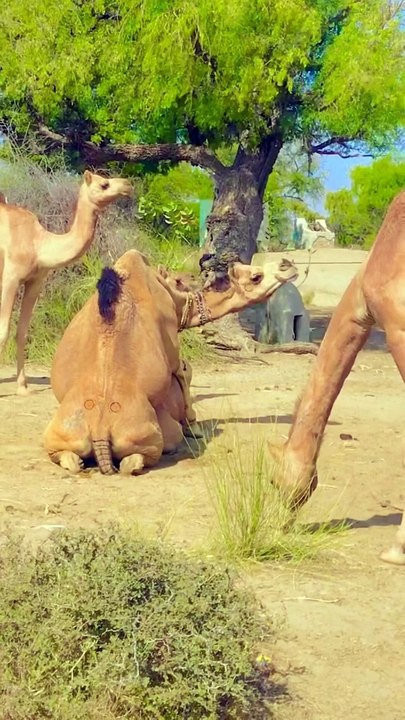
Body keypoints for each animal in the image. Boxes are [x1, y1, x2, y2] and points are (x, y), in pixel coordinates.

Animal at [0, 170, 132, 395]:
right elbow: (3, 331)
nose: (128, 184)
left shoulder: (35, 281)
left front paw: (23, 387)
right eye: (104, 184)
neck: (39, 245)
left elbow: (22, 332)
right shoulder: (11, 277)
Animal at [44, 250, 298, 475]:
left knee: (67, 456)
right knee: (133, 462)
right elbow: (184, 370)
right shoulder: (172, 348)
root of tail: (99, 429)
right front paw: (194, 428)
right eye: (256, 276)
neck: (177, 303)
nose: (287, 264)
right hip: (146, 439)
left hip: (62, 434)